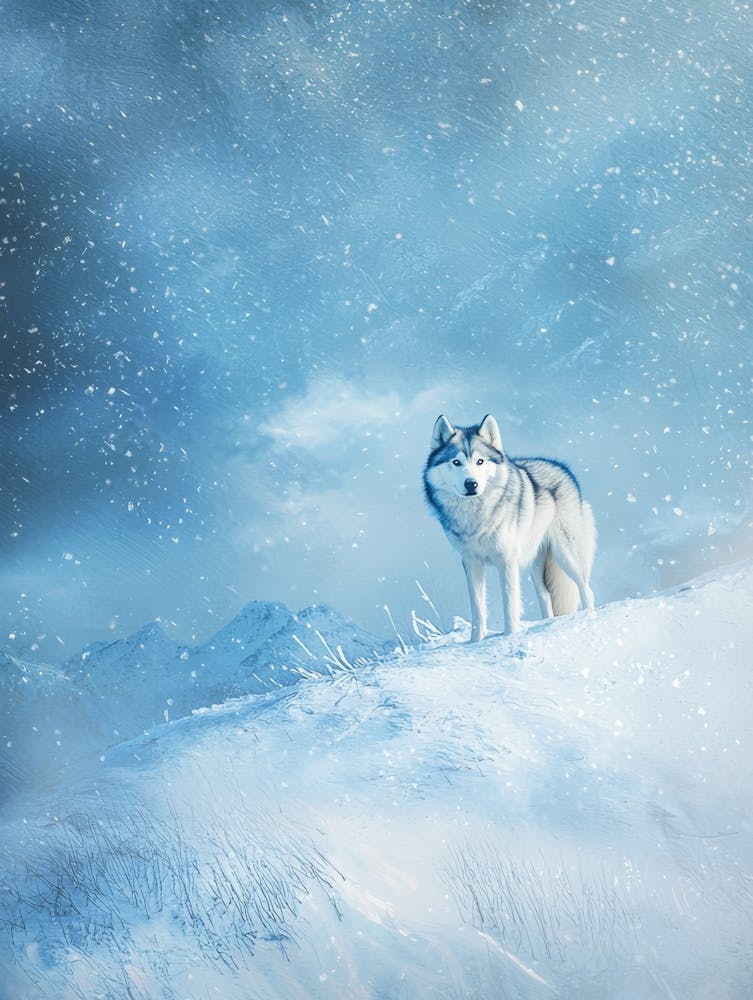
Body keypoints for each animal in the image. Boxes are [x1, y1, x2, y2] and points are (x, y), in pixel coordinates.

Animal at [423, 414, 596, 640]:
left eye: (480, 461)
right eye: (456, 462)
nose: (471, 484)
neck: (476, 517)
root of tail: (563, 469)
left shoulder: (507, 561)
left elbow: (510, 604)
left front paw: (510, 637)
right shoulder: (471, 562)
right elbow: (478, 609)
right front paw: (475, 643)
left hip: (566, 555)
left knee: (585, 588)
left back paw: (590, 618)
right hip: (536, 565)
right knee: (546, 595)